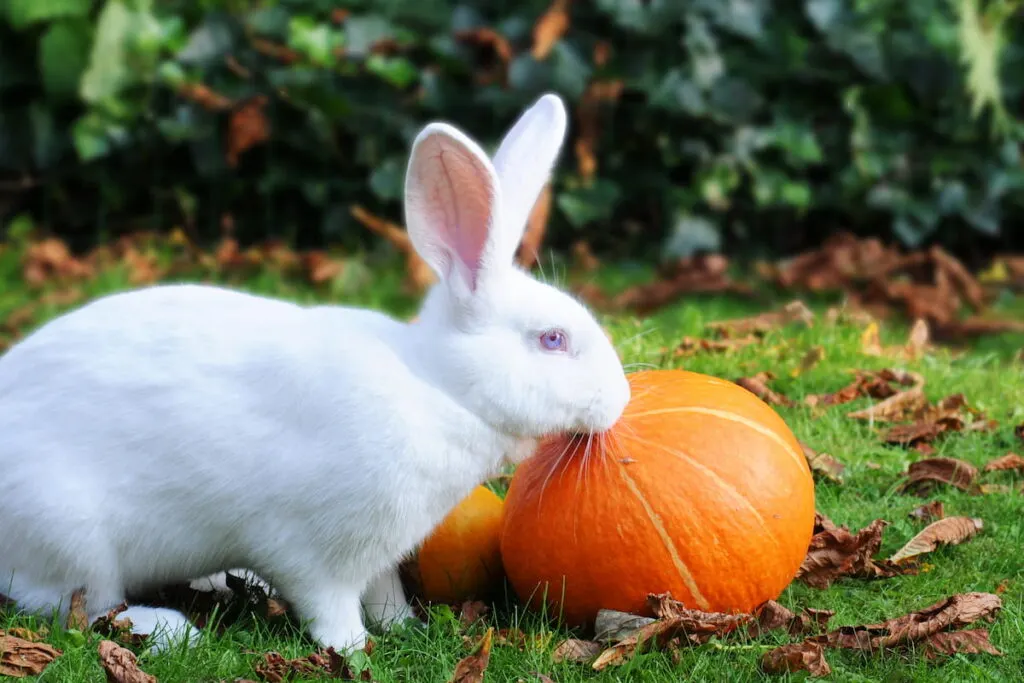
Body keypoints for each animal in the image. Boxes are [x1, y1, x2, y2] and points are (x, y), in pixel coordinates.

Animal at [0, 93, 630, 655]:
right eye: (553, 340)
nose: (620, 399)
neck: (437, 390)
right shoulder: (311, 551)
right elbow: (328, 603)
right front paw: (351, 647)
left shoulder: (378, 555)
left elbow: (383, 592)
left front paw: (404, 626)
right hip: (72, 537)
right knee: (78, 606)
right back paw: (170, 629)